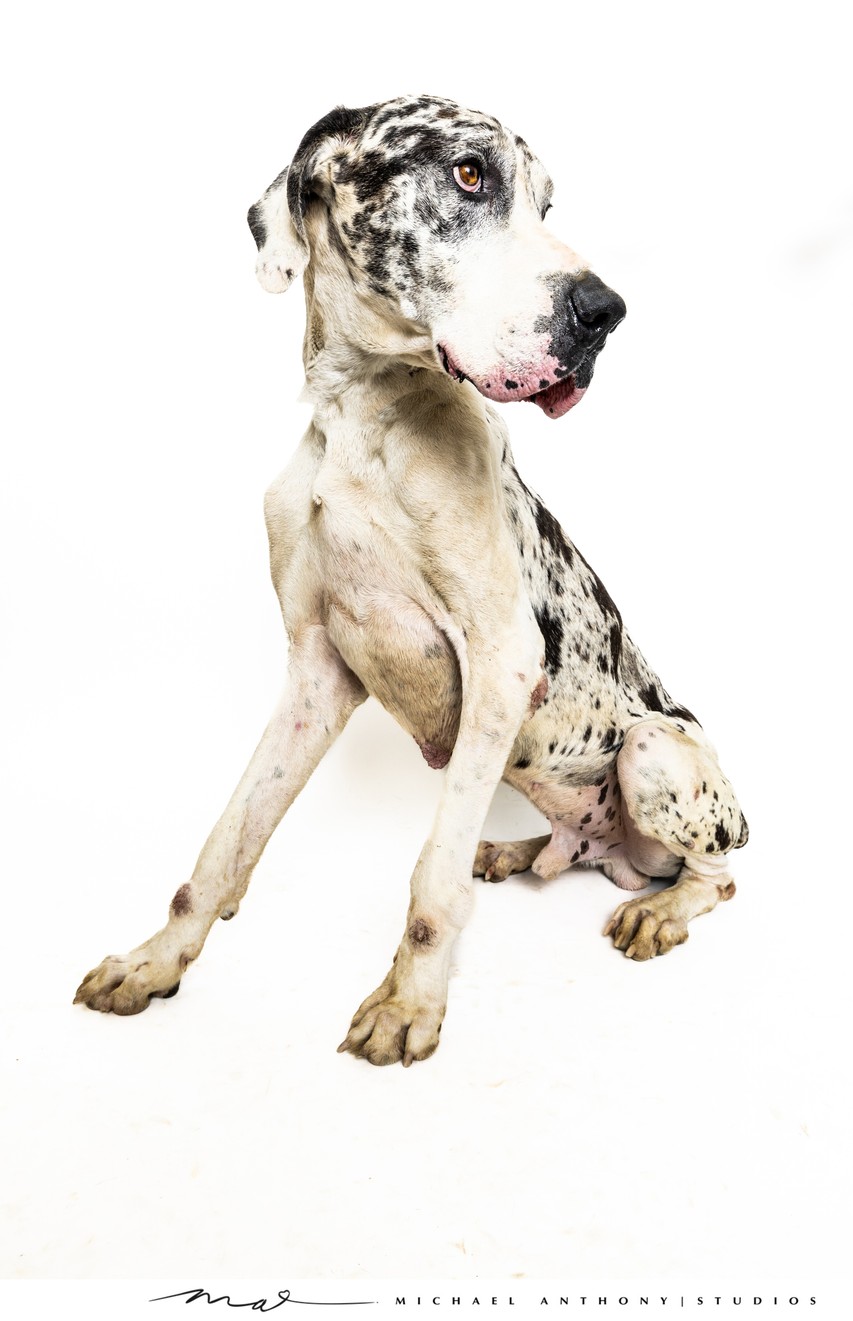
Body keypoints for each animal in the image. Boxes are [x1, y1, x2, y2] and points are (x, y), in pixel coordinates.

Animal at [75, 93, 750, 1062]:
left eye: (546, 204)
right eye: (469, 174)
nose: (606, 310)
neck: (366, 414)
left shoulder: (502, 663)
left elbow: (431, 875)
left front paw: (408, 1003)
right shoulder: (314, 672)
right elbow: (225, 844)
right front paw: (153, 961)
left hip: (657, 752)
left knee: (718, 873)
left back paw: (659, 910)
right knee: (559, 851)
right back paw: (516, 851)